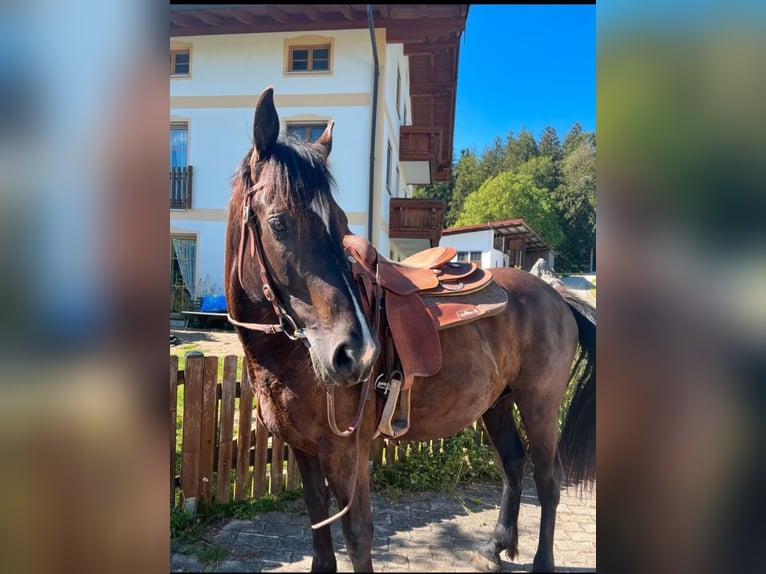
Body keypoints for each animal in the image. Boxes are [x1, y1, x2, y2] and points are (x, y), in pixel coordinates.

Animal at [224, 86, 596, 572]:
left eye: (340, 224)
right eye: (278, 222)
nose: (356, 354)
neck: (288, 358)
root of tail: (557, 296)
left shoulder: (345, 452)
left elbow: (357, 534)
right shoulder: (302, 449)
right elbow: (317, 521)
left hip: (539, 405)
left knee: (548, 480)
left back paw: (541, 561)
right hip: (496, 403)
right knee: (514, 465)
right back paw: (496, 547)